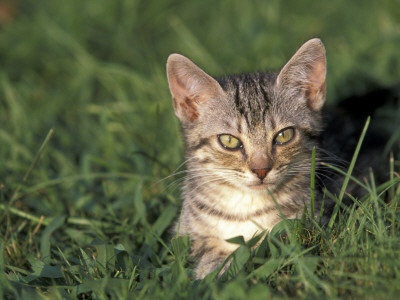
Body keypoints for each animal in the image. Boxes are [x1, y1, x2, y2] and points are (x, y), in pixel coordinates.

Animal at [166, 39, 378, 278]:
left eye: (284, 135)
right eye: (229, 141)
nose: (261, 170)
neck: (244, 208)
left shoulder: (311, 225)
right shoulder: (185, 231)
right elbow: (204, 250)